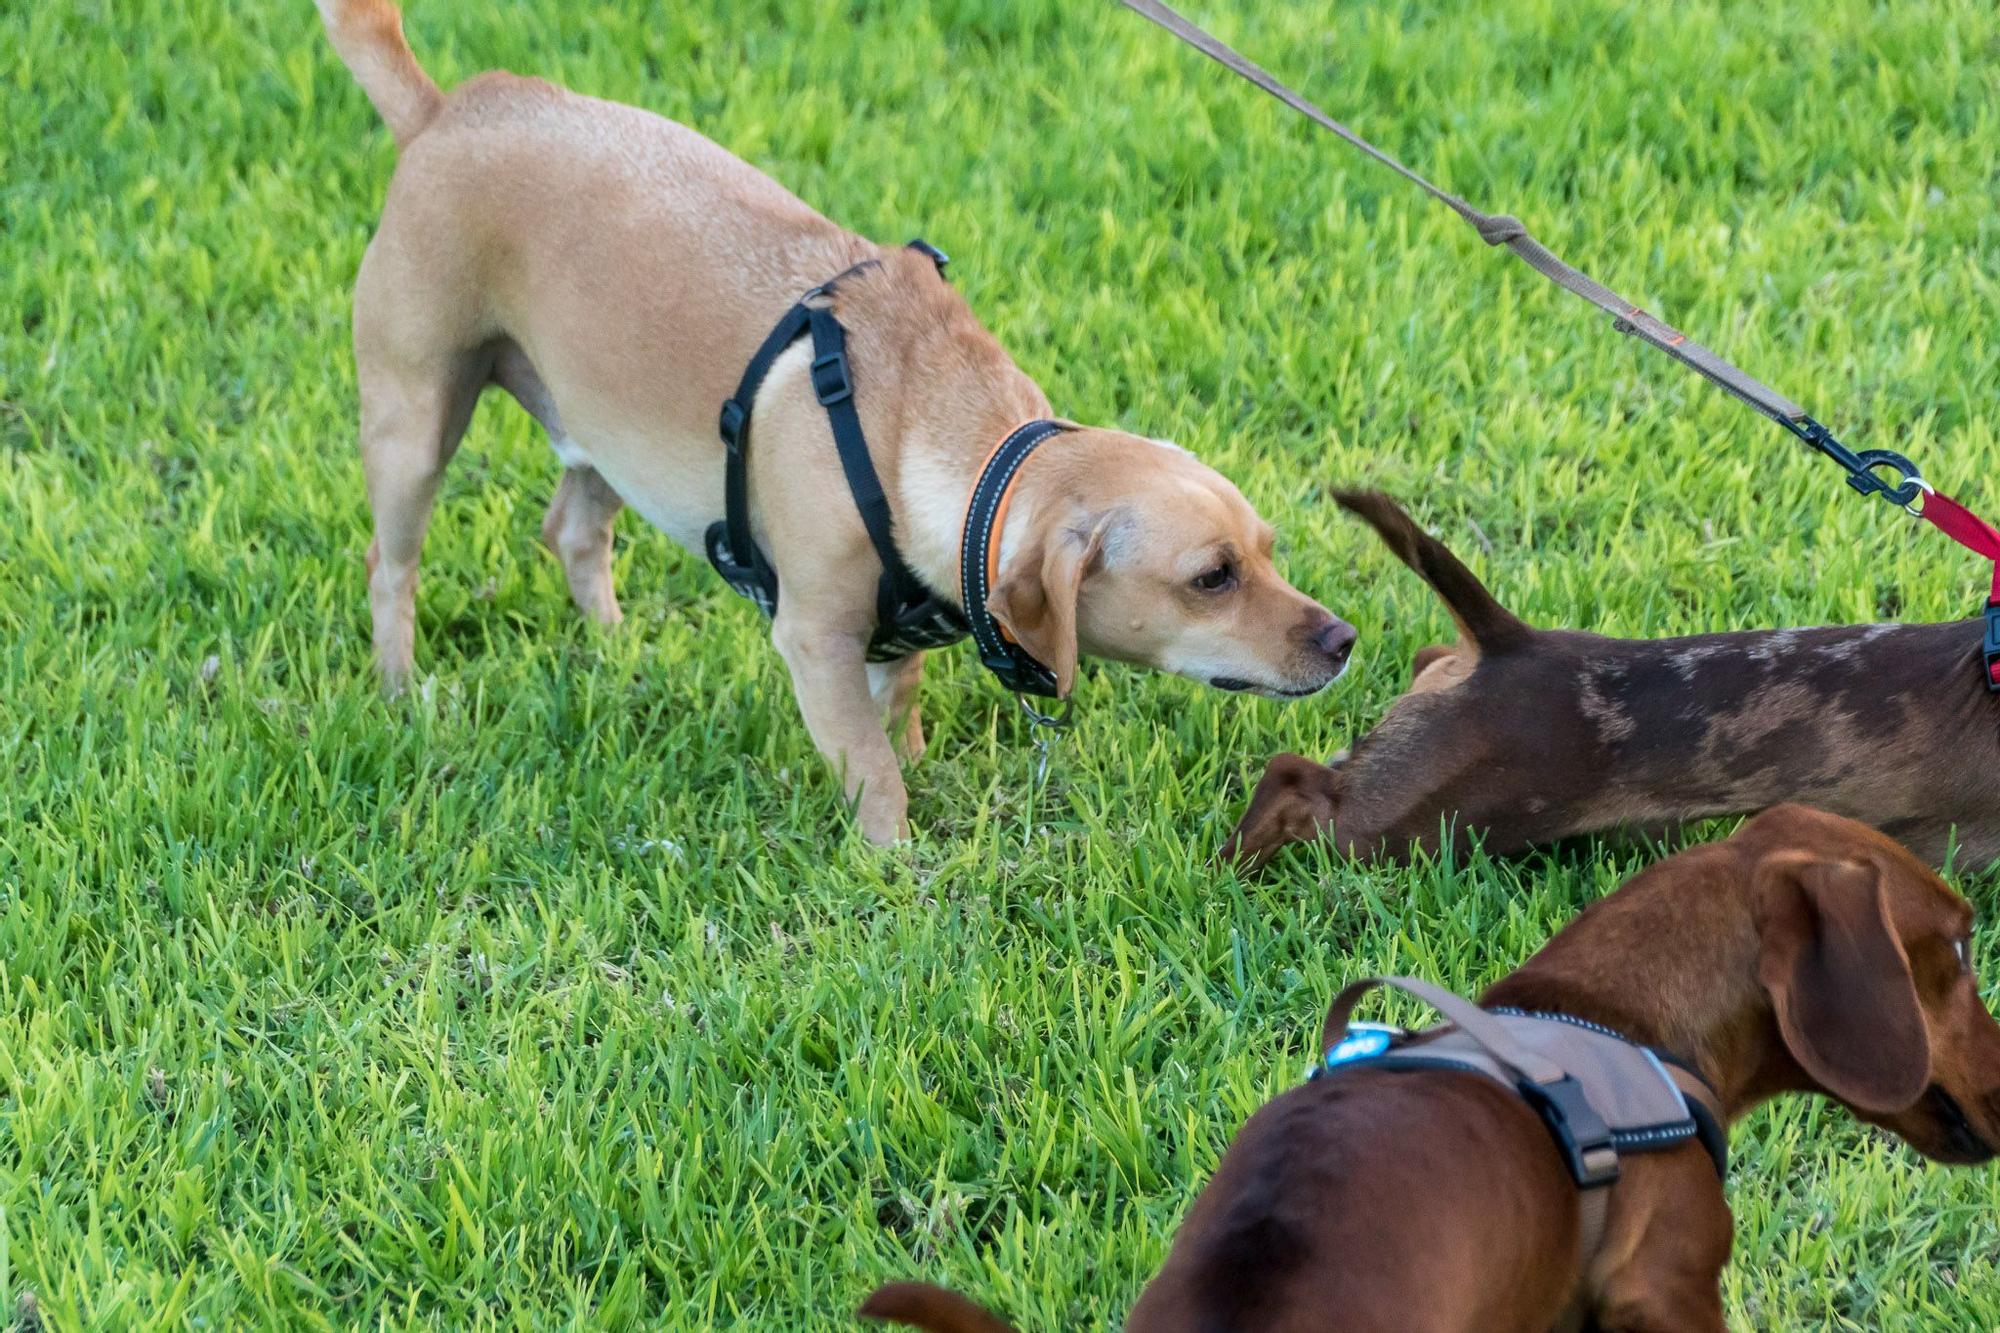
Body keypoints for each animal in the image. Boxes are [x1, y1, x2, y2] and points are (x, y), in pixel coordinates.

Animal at [312, 0, 1352, 836]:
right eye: (1212, 577)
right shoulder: (814, 640)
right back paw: (401, 693)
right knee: (391, 567)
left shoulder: (893, 637)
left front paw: (923, 761)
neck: (934, 437)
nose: (1342, 640)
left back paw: (611, 647)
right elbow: (873, 770)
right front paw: (898, 865)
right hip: (414, 421)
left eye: (1269, 549)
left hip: (604, 434)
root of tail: (445, 111)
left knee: (571, 527)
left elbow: (902, 714)